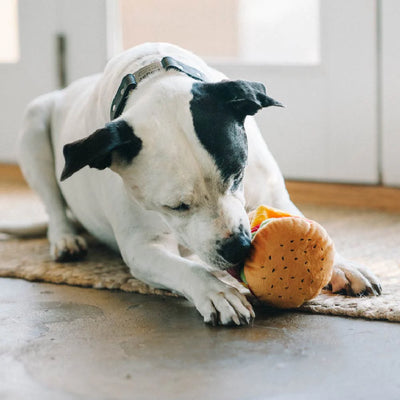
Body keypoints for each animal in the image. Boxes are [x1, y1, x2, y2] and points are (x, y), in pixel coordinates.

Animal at [11, 43, 382, 324]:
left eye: (237, 175)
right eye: (176, 207)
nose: (239, 248)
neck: (152, 76)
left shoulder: (271, 193)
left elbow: (309, 224)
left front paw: (343, 264)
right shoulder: (142, 248)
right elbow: (189, 269)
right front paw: (217, 292)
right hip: (33, 123)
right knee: (54, 206)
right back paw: (65, 239)